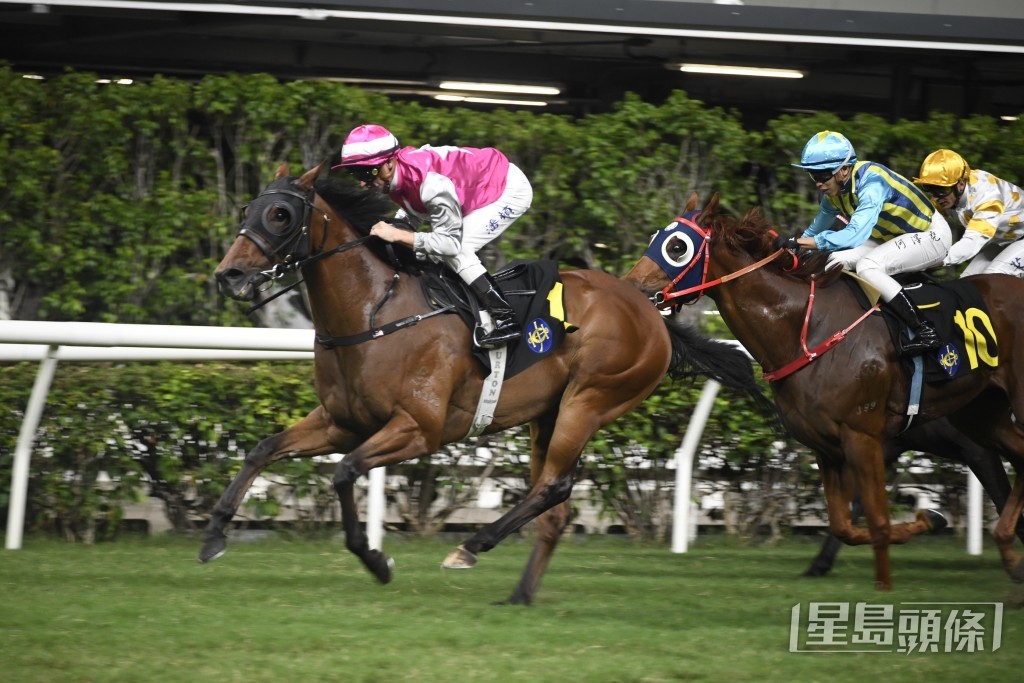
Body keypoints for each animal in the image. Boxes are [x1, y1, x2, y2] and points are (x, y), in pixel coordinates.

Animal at [203, 163, 764, 605]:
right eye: (250, 207)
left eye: (281, 214)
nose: (228, 275)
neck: (375, 312)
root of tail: (650, 312)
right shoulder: (341, 422)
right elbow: (263, 448)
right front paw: (213, 536)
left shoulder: (418, 429)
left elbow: (344, 473)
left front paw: (376, 561)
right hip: (548, 414)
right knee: (553, 503)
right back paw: (519, 595)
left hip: (589, 400)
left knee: (554, 486)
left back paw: (471, 547)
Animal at [624, 193, 1024, 590]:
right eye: (657, 237)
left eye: (678, 246)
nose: (633, 291)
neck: (808, 327)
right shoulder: (828, 448)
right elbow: (844, 525)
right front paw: (927, 521)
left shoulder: (864, 438)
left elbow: (877, 522)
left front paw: (886, 582)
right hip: (981, 416)